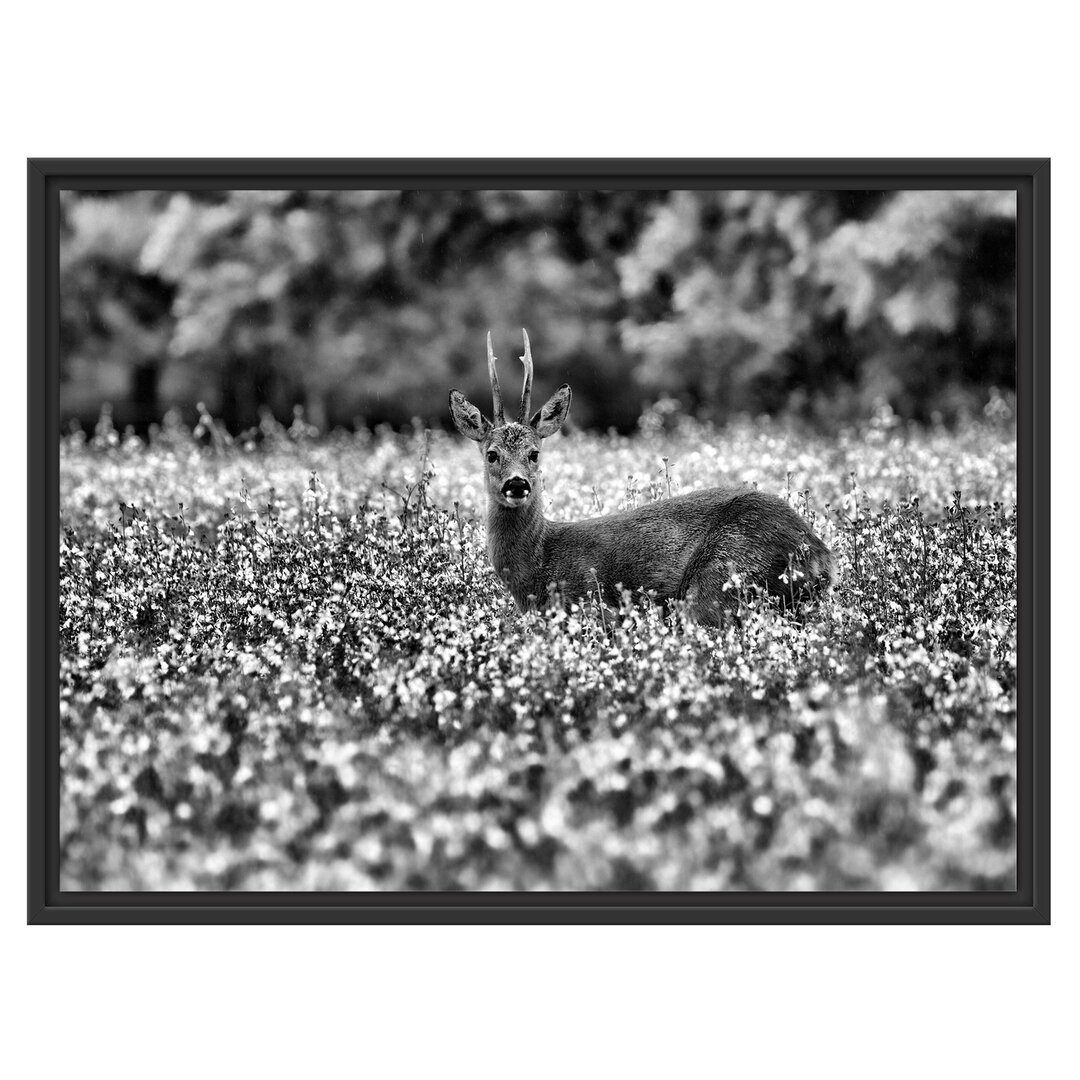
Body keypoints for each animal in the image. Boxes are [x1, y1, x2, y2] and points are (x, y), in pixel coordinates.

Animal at [447, 332, 833, 630]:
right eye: (491, 454)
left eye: (534, 453)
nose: (517, 485)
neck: (538, 568)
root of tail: (821, 555)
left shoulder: (592, 606)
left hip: (721, 579)